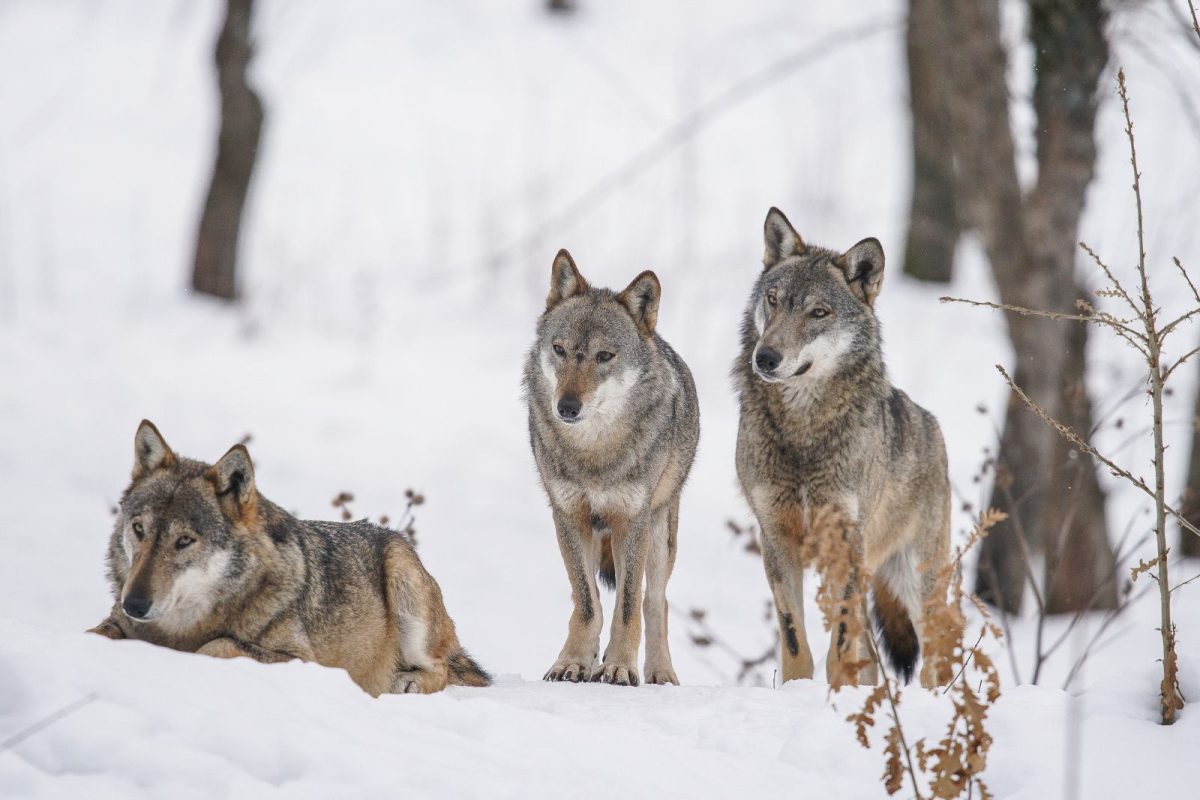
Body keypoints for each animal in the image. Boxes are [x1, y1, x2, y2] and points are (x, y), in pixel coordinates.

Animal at [87, 422, 492, 695]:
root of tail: (393, 536)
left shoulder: (303, 661)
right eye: (139, 529)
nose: (134, 604)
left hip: (402, 576)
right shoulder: (118, 624)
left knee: (442, 671)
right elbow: (97, 634)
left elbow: (218, 644)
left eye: (184, 540)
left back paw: (405, 682)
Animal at [523, 251, 700, 690]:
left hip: (660, 533)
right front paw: (573, 662)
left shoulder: (632, 521)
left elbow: (628, 607)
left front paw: (619, 667)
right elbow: (588, 603)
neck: (595, 454)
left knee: (655, 602)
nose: (567, 407)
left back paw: (660, 672)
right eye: (560, 349)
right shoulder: (568, 515)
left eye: (604, 356)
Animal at [734, 208, 950, 690]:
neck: (804, 429)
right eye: (774, 300)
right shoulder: (775, 539)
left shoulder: (847, 542)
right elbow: (794, 640)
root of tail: (931, 423)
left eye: (819, 312)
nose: (766, 358)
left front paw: (837, 693)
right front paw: (797, 691)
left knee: (936, 658)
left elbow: (840, 644)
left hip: (916, 586)